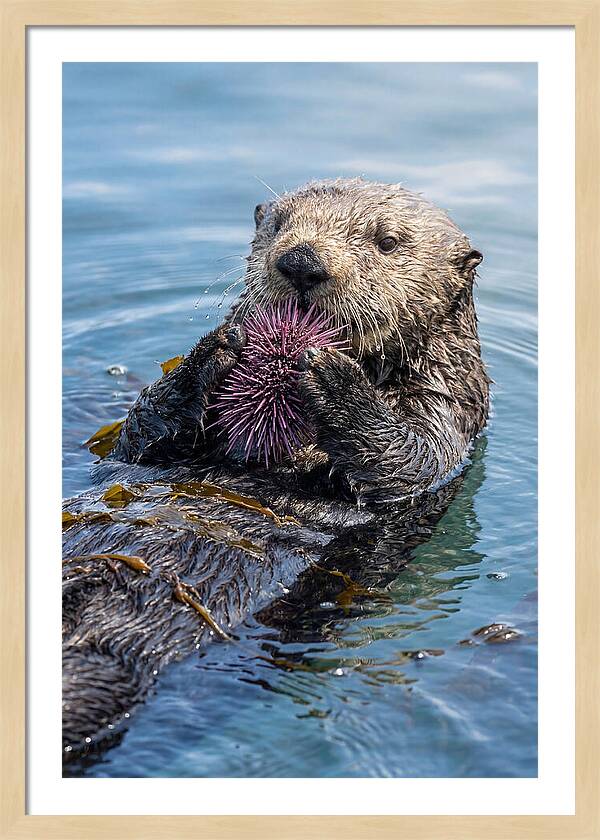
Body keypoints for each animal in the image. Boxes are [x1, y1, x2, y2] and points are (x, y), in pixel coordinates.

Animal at [62, 178, 489, 767]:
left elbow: (409, 460)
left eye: (387, 241)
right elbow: (139, 434)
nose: (302, 262)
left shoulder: (448, 414)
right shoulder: (143, 447)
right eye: (280, 224)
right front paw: (214, 350)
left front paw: (334, 379)